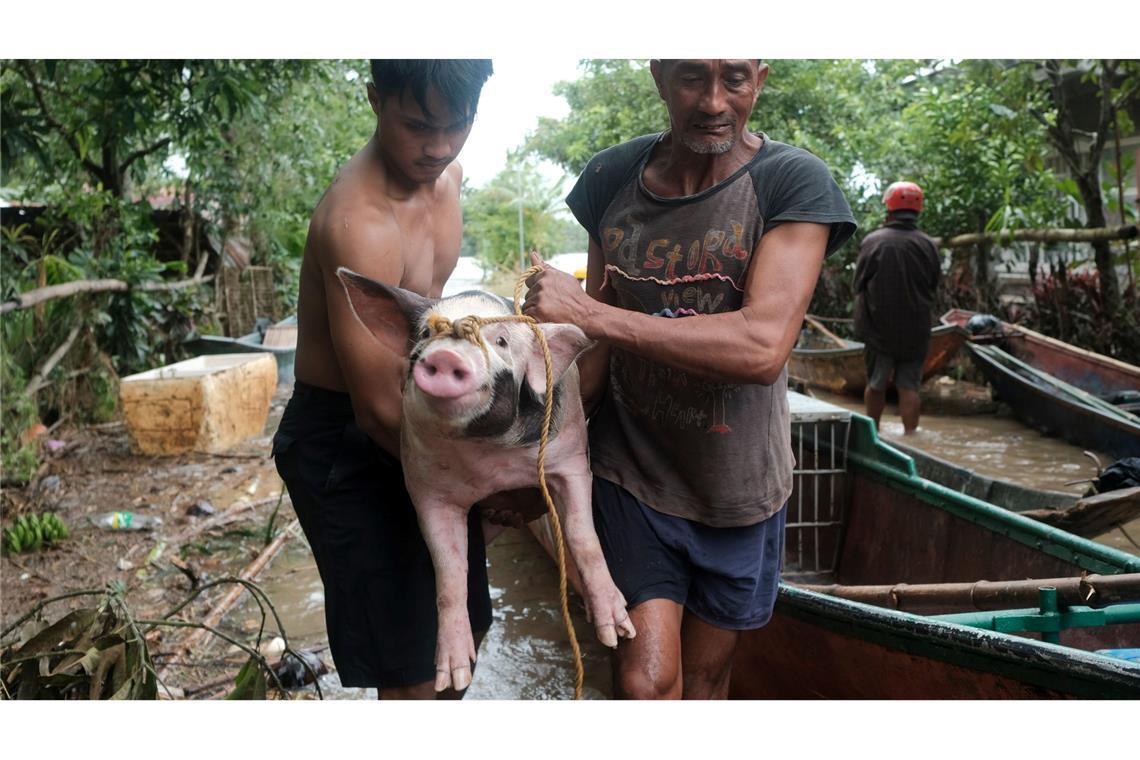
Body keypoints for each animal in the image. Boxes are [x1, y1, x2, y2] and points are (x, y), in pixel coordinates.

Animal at [337, 267, 638, 697]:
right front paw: (453, 675)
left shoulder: (570, 458)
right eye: (426, 333)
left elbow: (584, 538)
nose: (446, 356)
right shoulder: (426, 488)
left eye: (501, 341)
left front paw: (618, 633)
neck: (491, 463)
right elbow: (449, 572)